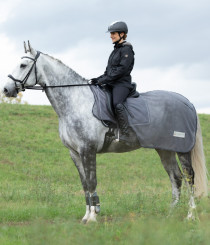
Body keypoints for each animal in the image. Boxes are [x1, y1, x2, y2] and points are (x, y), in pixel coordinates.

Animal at [2, 42, 208, 222]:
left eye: (23, 65)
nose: (6, 89)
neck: (76, 102)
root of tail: (187, 103)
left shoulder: (88, 149)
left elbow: (92, 182)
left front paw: (93, 217)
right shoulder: (75, 153)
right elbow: (84, 184)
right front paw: (86, 216)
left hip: (182, 149)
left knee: (189, 178)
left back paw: (190, 216)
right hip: (165, 150)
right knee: (176, 177)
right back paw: (170, 215)